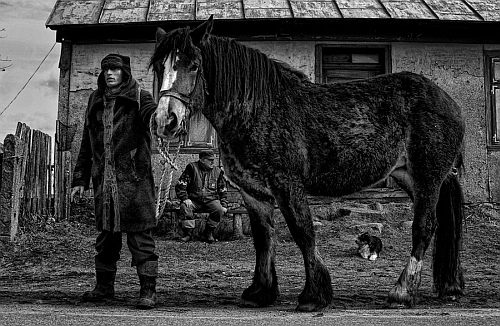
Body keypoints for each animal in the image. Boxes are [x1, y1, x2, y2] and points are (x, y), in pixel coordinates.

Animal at [150, 17, 466, 310]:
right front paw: (260, 293)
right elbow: (263, 238)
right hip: (409, 177)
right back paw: (450, 286)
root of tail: (448, 101)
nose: (166, 121)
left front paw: (314, 295)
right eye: (159, 69)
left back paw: (402, 292)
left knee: (424, 226)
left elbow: (303, 232)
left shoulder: (287, 185)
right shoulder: (253, 193)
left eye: (193, 65)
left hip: (427, 176)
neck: (259, 111)